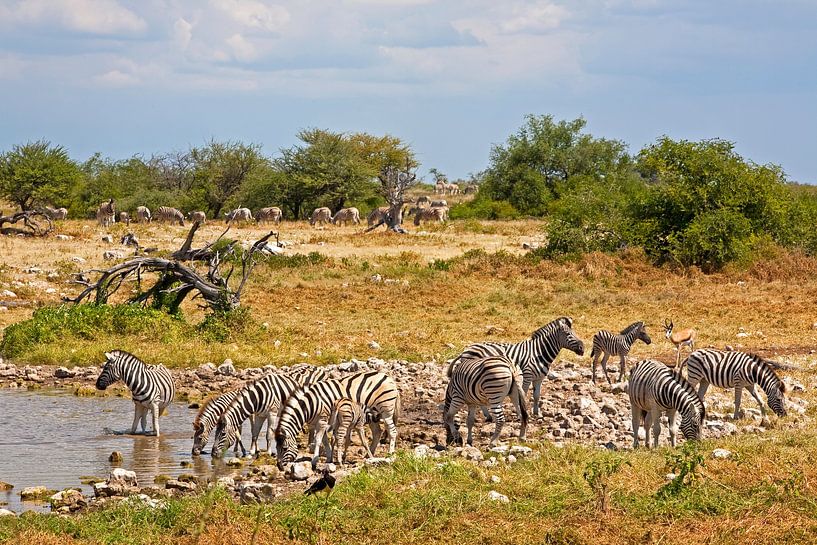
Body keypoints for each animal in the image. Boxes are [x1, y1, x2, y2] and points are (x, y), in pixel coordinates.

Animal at [454, 316, 585, 416]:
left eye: (575, 333)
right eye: (568, 334)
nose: (582, 348)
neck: (538, 352)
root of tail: (466, 350)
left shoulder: (539, 378)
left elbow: (536, 396)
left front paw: (537, 413)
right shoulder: (527, 376)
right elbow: (524, 395)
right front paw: (523, 412)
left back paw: (487, 416)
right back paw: (488, 415)